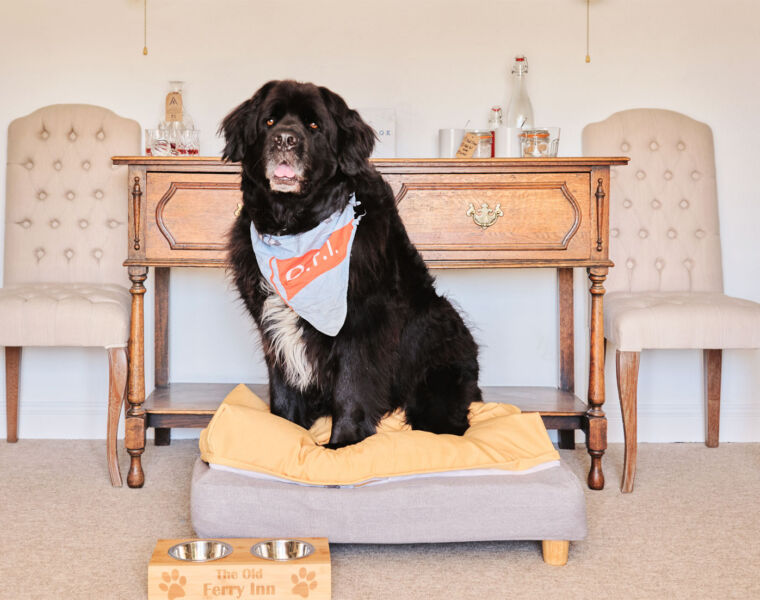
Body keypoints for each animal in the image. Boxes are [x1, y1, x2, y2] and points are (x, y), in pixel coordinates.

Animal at [221, 78, 480, 446]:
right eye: (269, 121)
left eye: (314, 125)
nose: (285, 139)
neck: (295, 226)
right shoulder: (271, 325)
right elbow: (283, 391)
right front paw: (285, 436)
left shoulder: (362, 321)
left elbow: (351, 387)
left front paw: (342, 444)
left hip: (441, 331)